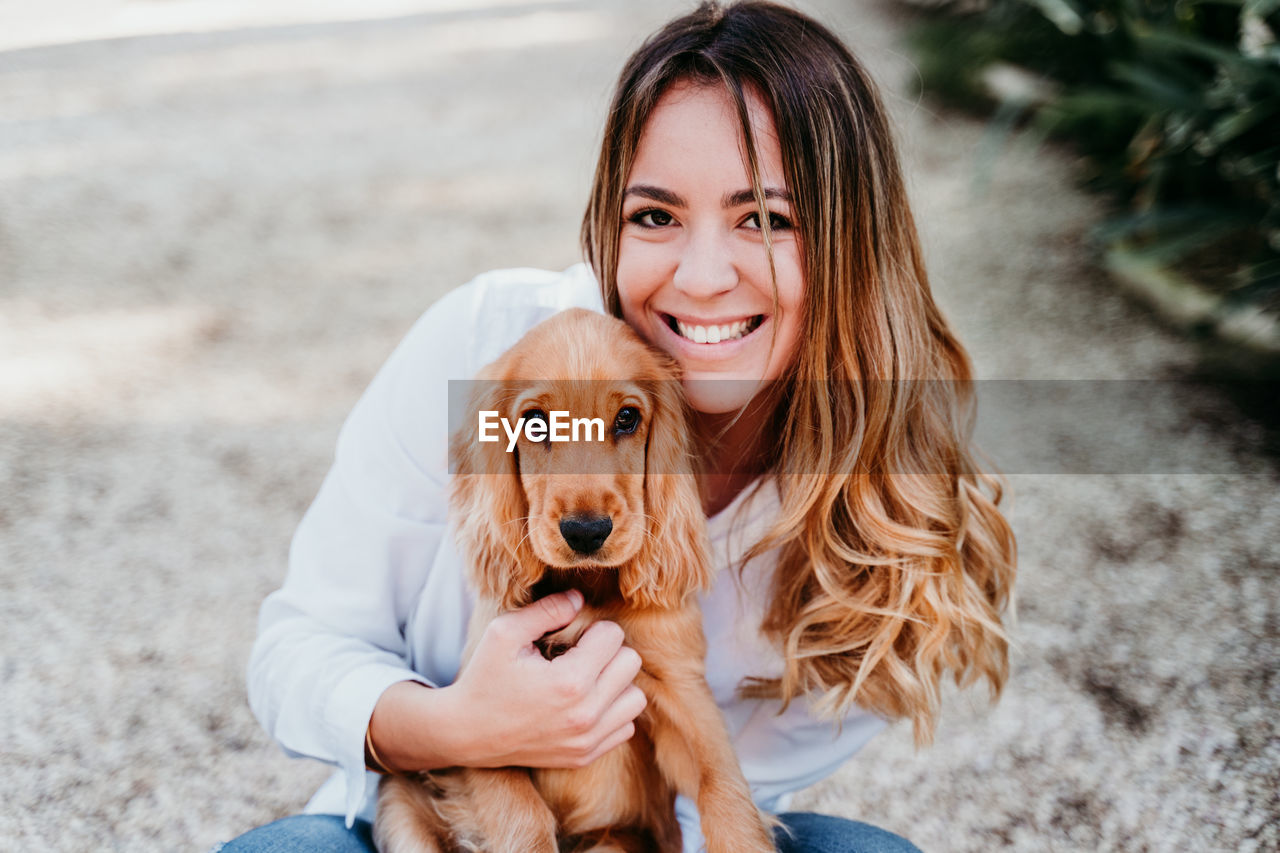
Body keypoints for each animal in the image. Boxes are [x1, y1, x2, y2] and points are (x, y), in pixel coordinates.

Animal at [371, 307, 768, 850]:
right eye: (535, 422)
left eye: (627, 418)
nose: (586, 532)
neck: (588, 587)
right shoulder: (483, 721)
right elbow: (523, 815)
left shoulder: (682, 688)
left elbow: (724, 790)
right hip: (400, 801)